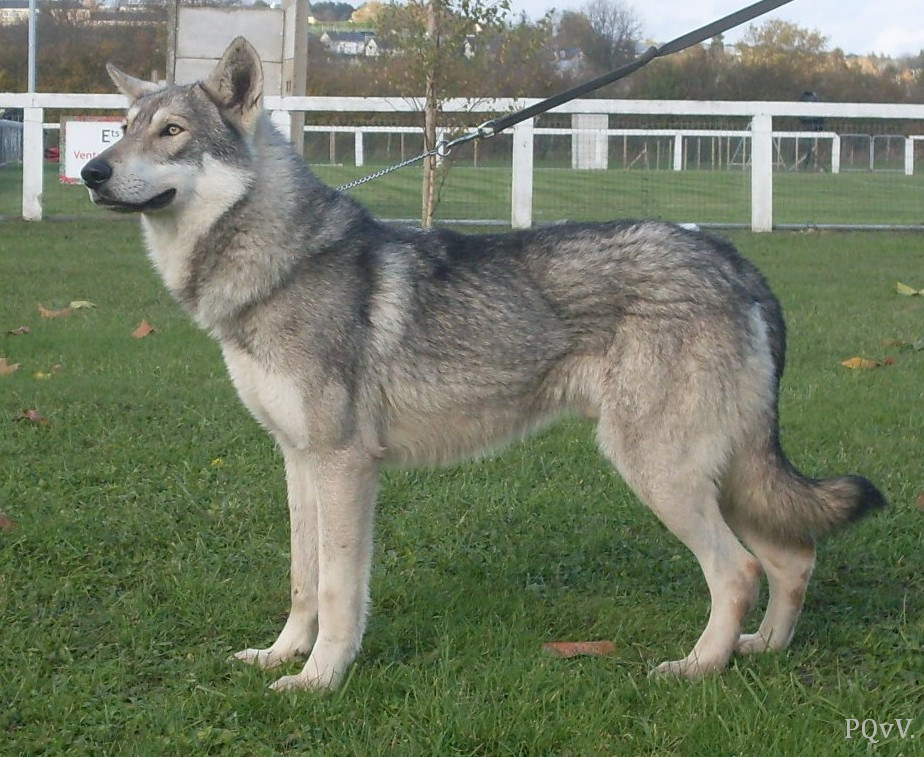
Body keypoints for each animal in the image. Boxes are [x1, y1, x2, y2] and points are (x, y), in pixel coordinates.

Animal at [81, 37, 885, 691]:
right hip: (721, 471)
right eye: (123, 127)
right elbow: (304, 581)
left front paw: (319, 681)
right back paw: (763, 650)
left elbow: (340, 592)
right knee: (793, 558)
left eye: (172, 131)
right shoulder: (299, 459)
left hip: (660, 470)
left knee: (739, 570)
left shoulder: (345, 464)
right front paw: (281, 656)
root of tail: (731, 257)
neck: (281, 265)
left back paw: (697, 667)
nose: (90, 170)